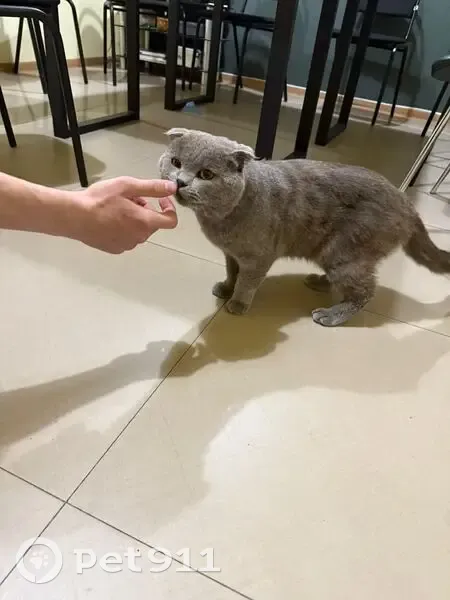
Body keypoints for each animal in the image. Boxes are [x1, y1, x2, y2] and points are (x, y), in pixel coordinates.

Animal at [159, 127, 450, 326]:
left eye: (206, 174)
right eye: (176, 162)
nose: (180, 181)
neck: (219, 219)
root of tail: (407, 203)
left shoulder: (258, 258)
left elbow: (247, 282)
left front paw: (237, 303)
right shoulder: (231, 254)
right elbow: (232, 273)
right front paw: (226, 288)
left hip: (346, 253)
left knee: (365, 291)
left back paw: (331, 315)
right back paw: (319, 281)